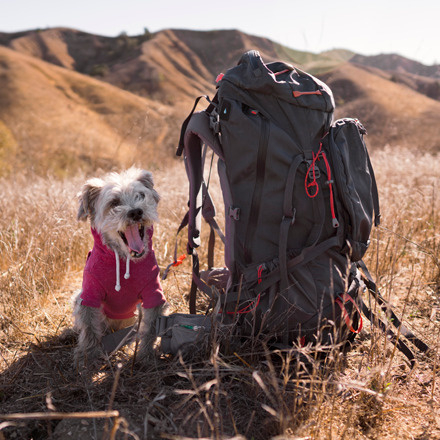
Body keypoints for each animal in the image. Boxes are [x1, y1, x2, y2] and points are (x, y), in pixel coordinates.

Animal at [73, 167, 168, 366]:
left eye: (141, 195)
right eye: (114, 203)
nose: (136, 212)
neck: (124, 259)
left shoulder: (154, 293)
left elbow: (150, 328)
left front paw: (146, 355)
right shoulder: (89, 294)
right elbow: (89, 329)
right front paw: (87, 358)